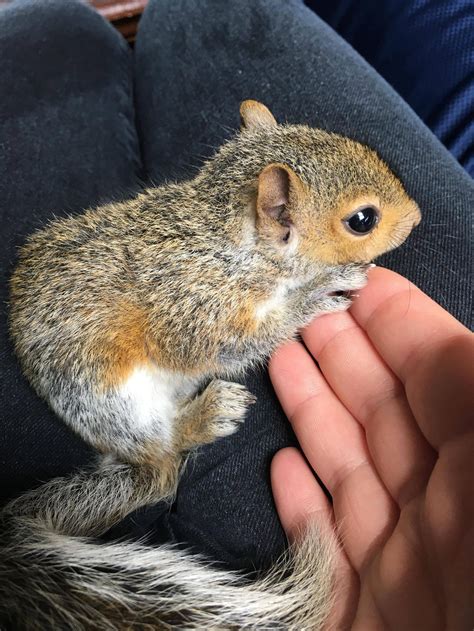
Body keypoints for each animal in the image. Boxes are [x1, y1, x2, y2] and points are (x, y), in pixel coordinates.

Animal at [2, 101, 418, 628]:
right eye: (363, 219)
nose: (417, 217)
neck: (237, 249)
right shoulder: (194, 309)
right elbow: (229, 344)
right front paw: (317, 293)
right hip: (110, 398)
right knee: (161, 466)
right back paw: (204, 417)